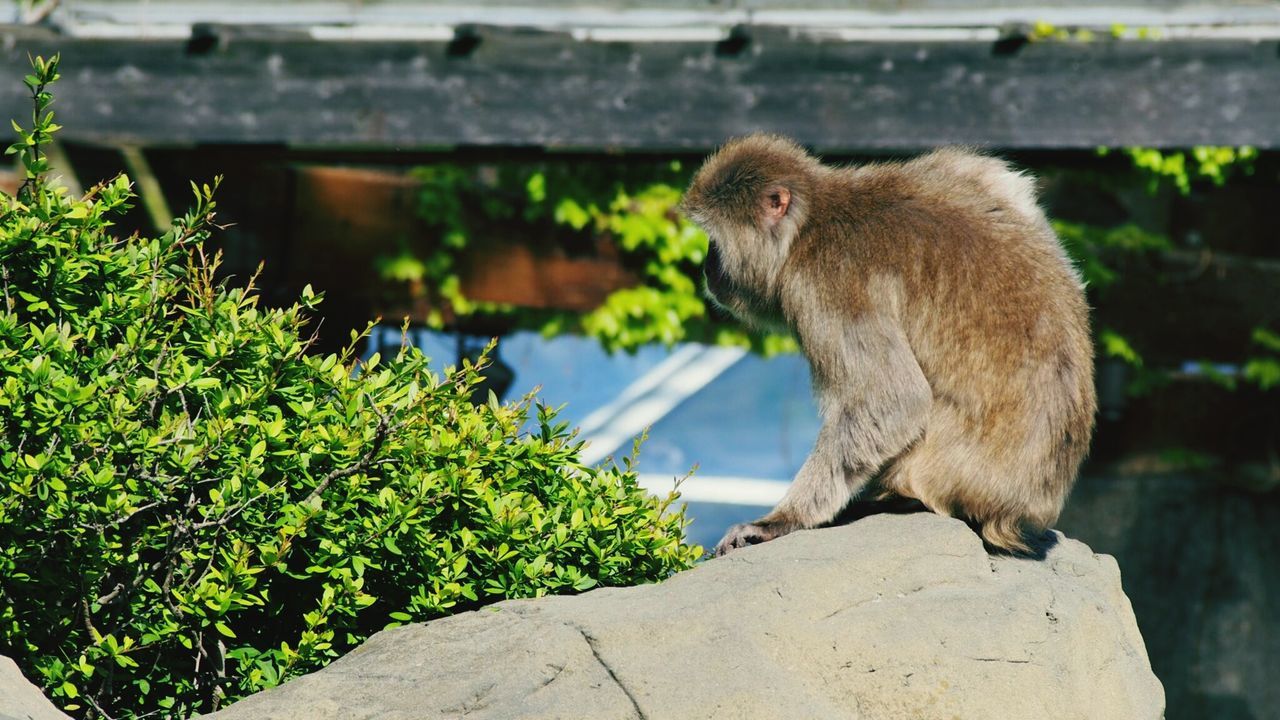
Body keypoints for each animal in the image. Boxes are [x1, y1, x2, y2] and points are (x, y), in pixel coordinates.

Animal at [680, 134, 1100, 556]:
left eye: (714, 240)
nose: (706, 267)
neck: (809, 225)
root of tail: (1022, 513)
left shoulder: (826, 283)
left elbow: (893, 401)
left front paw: (781, 520)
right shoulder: (959, 171)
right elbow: (1010, 191)